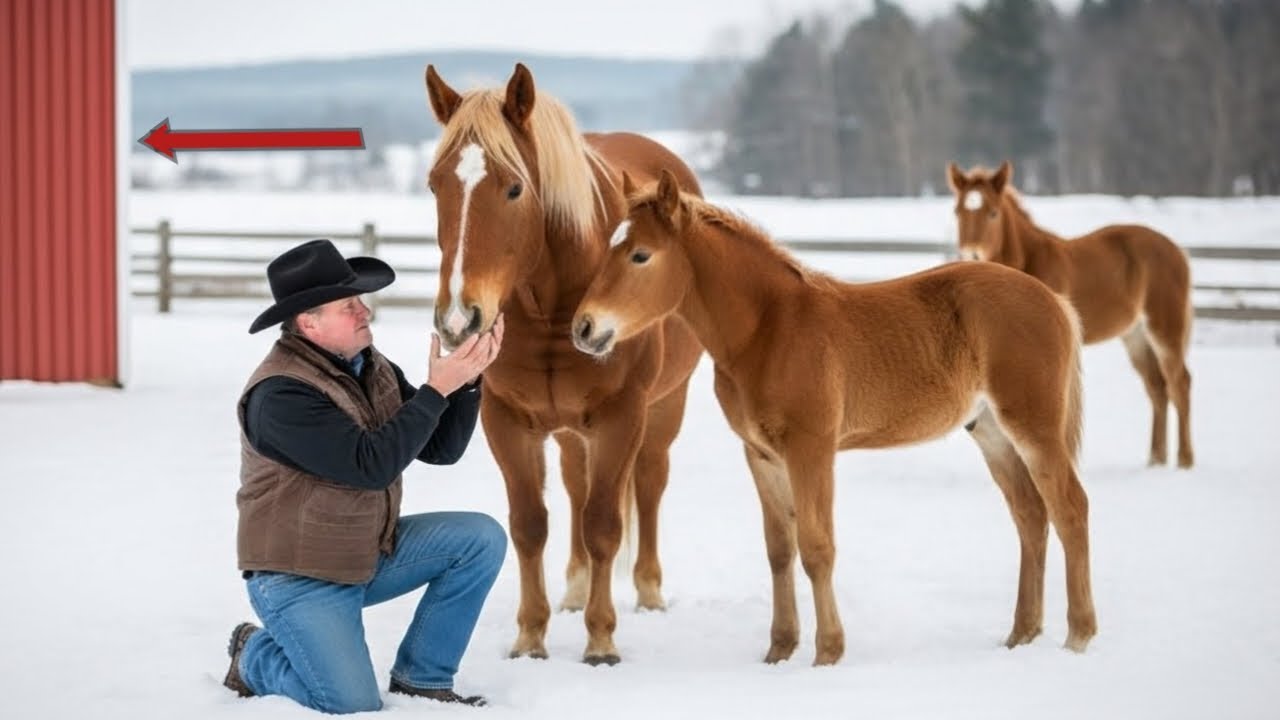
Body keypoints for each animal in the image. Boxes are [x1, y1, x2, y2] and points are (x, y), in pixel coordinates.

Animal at [422, 63, 704, 665]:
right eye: (436, 185)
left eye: (513, 187)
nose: (459, 318)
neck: (551, 299)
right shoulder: (505, 420)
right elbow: (530, 524)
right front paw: (531, 636)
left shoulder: (623, 417)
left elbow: (603, 524)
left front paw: (601, 640)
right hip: (574, 431)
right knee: (577, 485)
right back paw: (574, 590)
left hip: (665, 407)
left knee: (649, 482)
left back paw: (648, 591)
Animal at [572, 169, 1097, 665]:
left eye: (641, 255)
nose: (584, 328)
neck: (769, 329)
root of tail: (1055, 301)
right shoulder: (761, 454)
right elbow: (779, 550)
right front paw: (779, 649)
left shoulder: (812, 449)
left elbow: (817, 547)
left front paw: (827, 651)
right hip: (991, 431)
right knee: (1030, 514)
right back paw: (1021, 634)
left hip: (1034, 427)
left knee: (1070, 508)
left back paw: (1078, 636)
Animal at [948, 161, 1194, 468]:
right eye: (957, 211)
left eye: (993, 213)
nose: (970, 255)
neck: (1028, 261)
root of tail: (1178, 252)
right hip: (1135, 336)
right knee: (1157, 388)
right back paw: (1155, 459)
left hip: (1164, 330)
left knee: (1179, 383)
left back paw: (1184, 460)